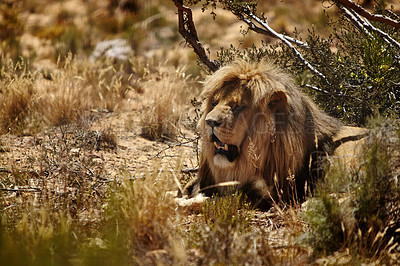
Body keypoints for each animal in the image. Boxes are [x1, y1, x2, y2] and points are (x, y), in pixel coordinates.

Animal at [183, 59, 368, 210]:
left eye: (238, 107)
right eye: (214, 103)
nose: (210, 121)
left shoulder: (269, 194)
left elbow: (219, 201)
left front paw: (188, 202)